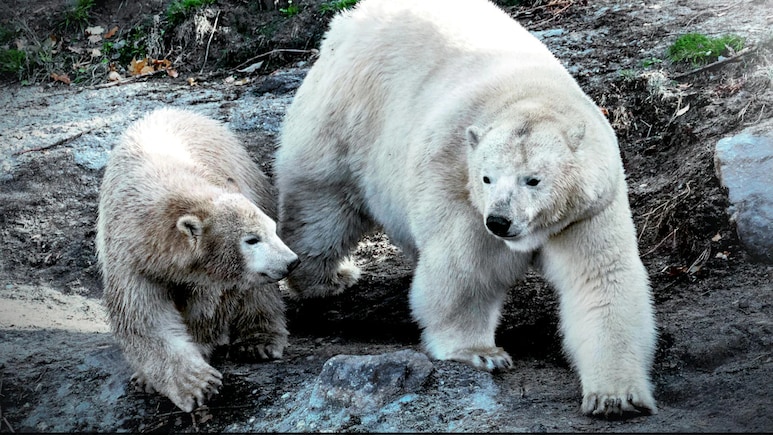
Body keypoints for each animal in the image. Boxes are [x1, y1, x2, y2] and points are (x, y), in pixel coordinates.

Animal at [96, 107, 299, 413]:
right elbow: (144, 319)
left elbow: (208, 307)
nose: (291, 261)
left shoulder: (212, 274)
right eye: (251, 239)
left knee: (256, 292)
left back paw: (258, 342)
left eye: (271, 230)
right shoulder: (130, 258)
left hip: (251, 183)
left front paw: (201, 364)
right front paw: (187, 383)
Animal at [274, 0, 657, 417]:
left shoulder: (587, 208)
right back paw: (326, 277)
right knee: (322, 205)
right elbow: (467, 268)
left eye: (533, 179)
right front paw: (482, 353)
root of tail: (349, 20)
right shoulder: (459, 184)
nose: (500, 221)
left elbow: (601, 279)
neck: (528, 95)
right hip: (347, 116)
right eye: (487, 178)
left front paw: (616, 398)